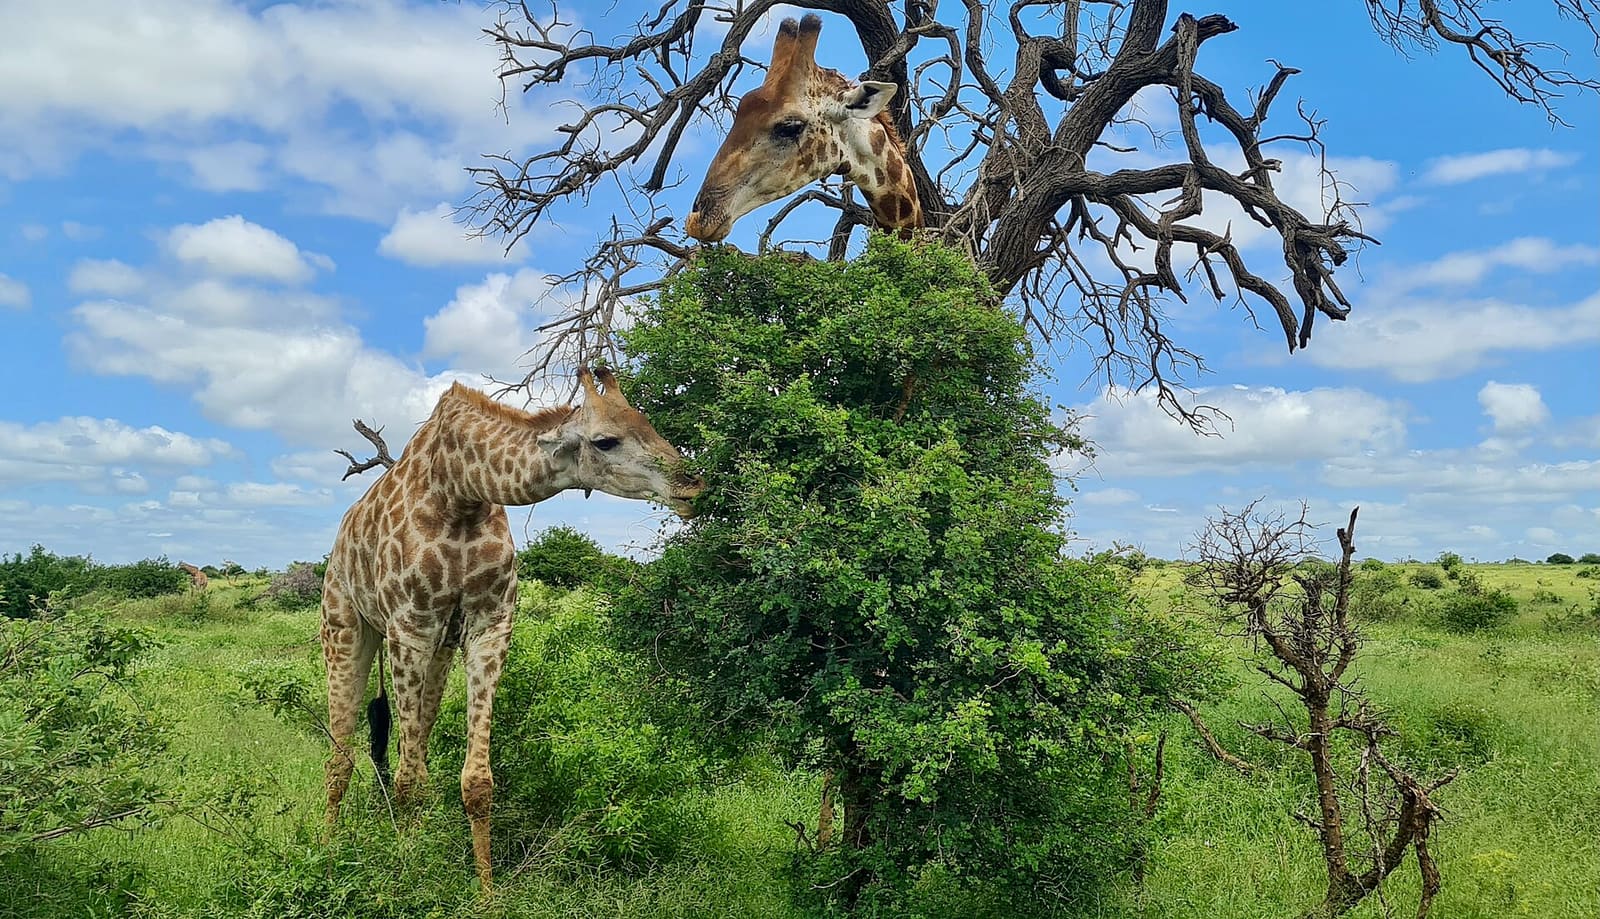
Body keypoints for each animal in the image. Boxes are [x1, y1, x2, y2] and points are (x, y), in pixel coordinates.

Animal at [319, 369, 704, 890]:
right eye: (606, 440)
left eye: (648, 422)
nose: (692, 485)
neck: (460, 489)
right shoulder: (409, 627)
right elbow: (406, 779)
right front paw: (407, 875)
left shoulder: (490, 626)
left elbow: (475, 781)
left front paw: (485, 891)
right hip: (346, 626)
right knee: (343, 757)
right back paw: (326, 853)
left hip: (440, 649)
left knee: (413, 748)